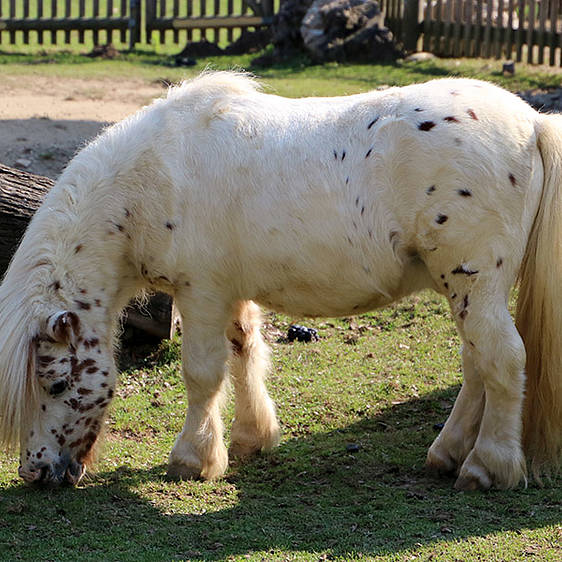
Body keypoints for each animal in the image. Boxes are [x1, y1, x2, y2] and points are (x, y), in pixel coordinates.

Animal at [1, 72, 560, 488]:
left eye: (55, 382)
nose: (35, 473)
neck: (151, 180)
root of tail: (531, 122)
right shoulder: (229, 293)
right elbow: (245, 352)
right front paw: (251, 438)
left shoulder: (200, 292)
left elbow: (203, 374)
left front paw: (192, 459)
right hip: (466, 291)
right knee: (476, 364)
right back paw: (446, 454)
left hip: (474, 284)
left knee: (503, 360)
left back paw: (486, 466)